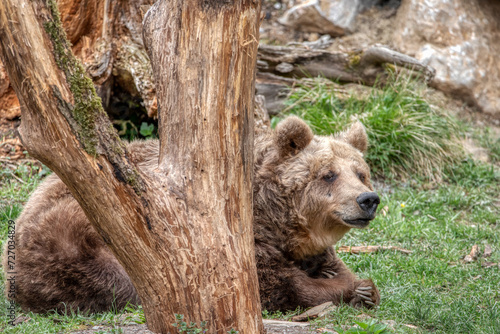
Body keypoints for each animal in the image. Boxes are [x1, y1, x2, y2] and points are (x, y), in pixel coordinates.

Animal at [1, 117, 380, 314]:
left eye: (360, 172)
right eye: (328, 174)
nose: (368, 199)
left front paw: (356, 284)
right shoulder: (237, 236)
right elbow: (277, 285)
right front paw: (356, 288)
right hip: (78, 225)